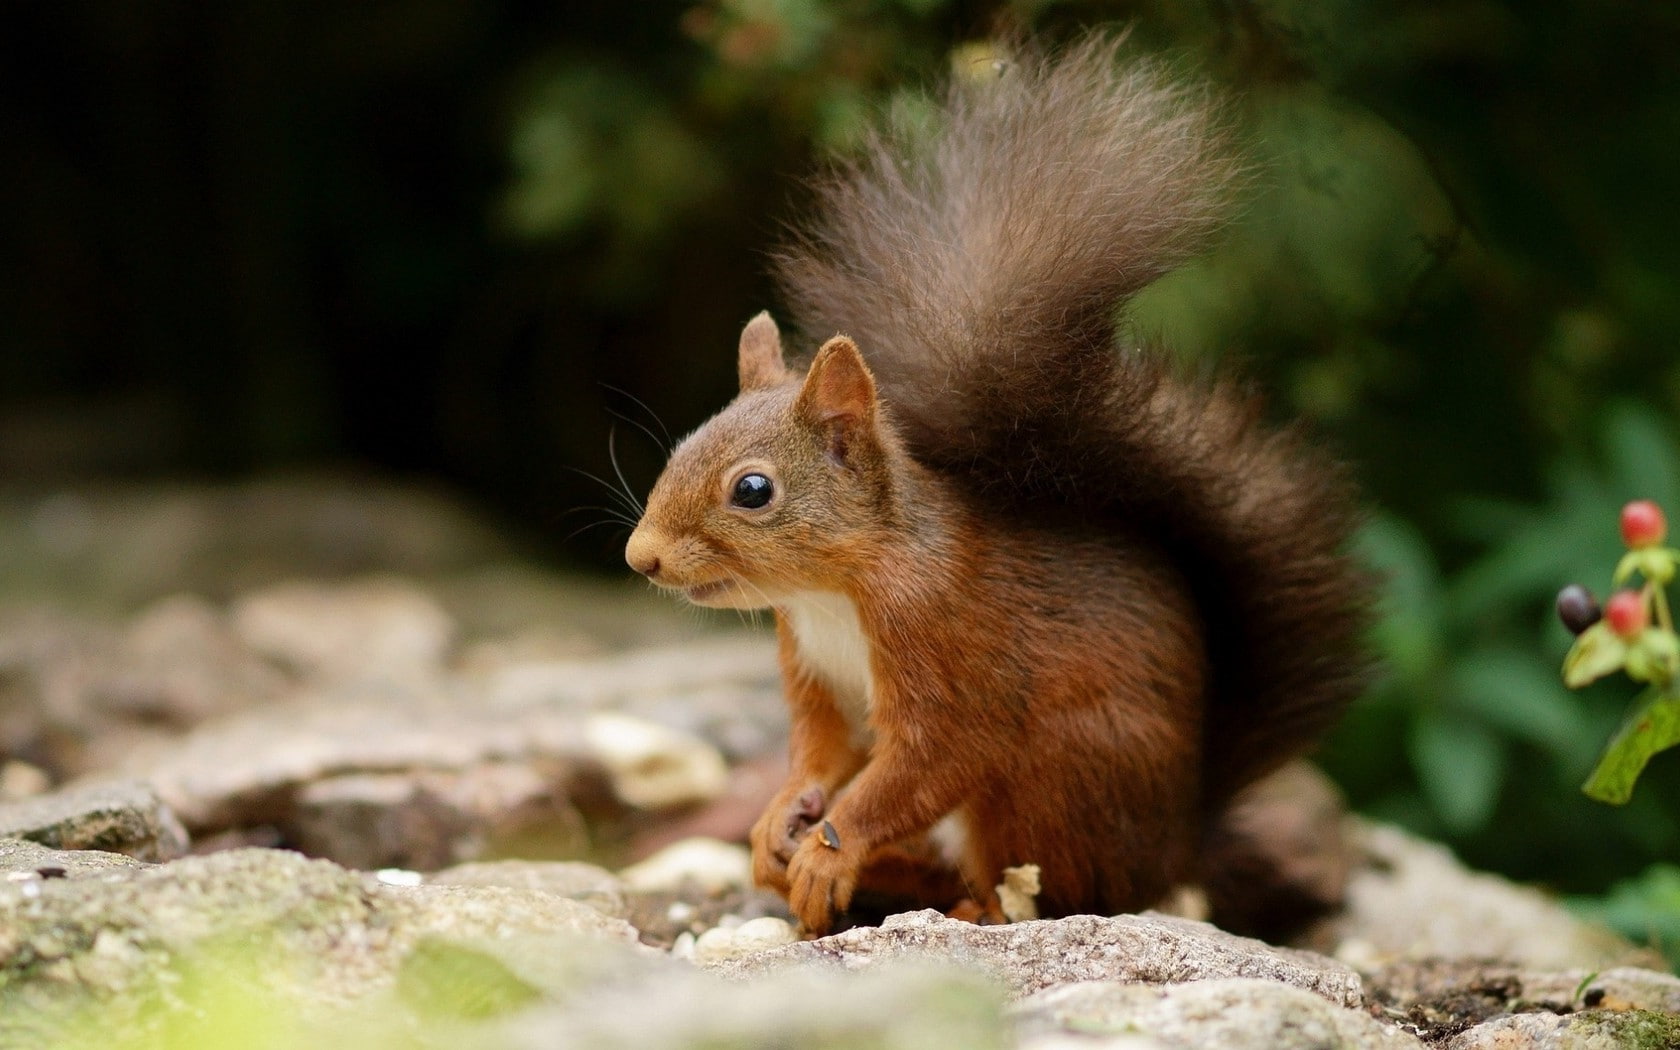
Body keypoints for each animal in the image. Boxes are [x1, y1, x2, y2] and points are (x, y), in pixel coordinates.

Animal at [623, 35, 1370, 937]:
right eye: (682, 446)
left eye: (754, 491)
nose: (641, 557)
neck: (837, 588)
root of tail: (1174, 846)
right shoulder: (814, 672)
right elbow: (823, 755)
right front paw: (780, 819)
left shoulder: (949, 651)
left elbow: (925, 762)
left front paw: (832, 848)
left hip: (1052, 781)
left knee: (1045, 890)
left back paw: (968, 903)